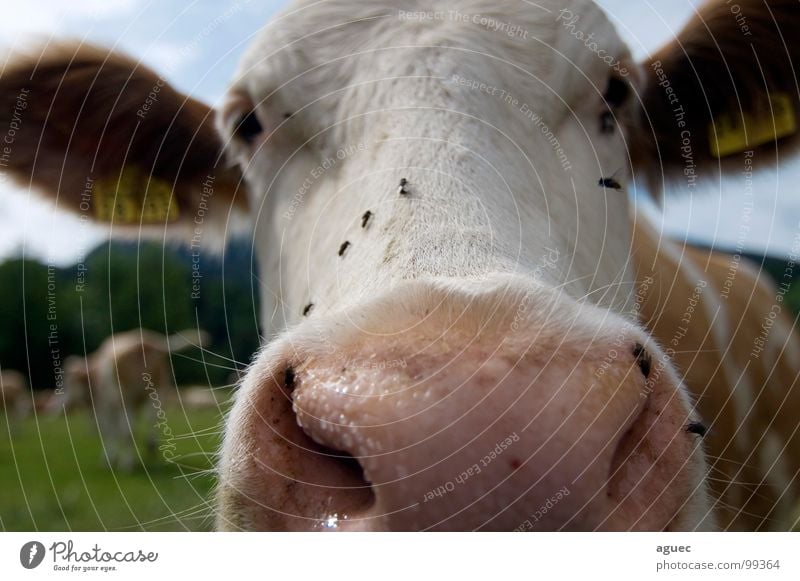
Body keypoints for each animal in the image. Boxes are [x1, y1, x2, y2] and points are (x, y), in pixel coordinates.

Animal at [50, 328, 209, 468]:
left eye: (67, 383)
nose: (55, 408)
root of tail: (145, 342)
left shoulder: (105, 407)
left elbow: (110, 432)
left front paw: (108, 458)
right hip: (159, 390)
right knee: (151, 419)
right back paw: (150, 447)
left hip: (126, 398)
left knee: (128, 430)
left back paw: (127, 464)